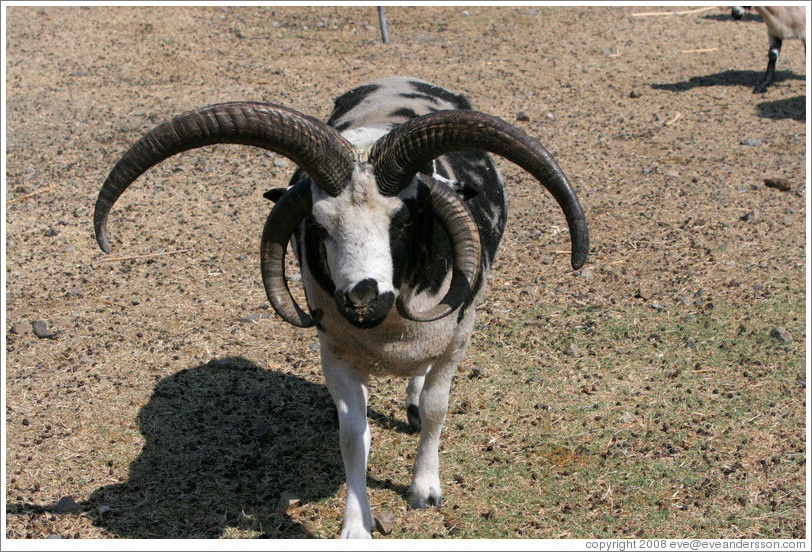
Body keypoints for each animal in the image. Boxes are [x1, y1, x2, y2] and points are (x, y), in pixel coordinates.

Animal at [93, 76, 589, 538]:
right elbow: (353, 437)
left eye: (404, 220)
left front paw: (424, 489)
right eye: (319, 224)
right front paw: (356, 525)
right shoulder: (335, 355)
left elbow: (435, 408)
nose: (363, 297)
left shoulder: (455, 340)